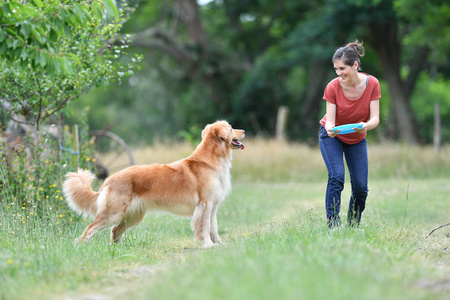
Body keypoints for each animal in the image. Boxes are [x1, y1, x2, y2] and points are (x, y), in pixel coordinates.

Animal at [62, 120, 244, 247]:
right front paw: (207, 244)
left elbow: (214, 228)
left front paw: (219, 243)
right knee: (90, 229)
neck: (212, 160)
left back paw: (117, 249)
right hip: (113, 213)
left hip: (133, 216)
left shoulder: (213, 207)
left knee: (115, 230)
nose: (244, 131)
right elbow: (205, 228)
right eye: (231, 128)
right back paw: (80, 247)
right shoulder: (204, 205)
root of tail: (108, 180)